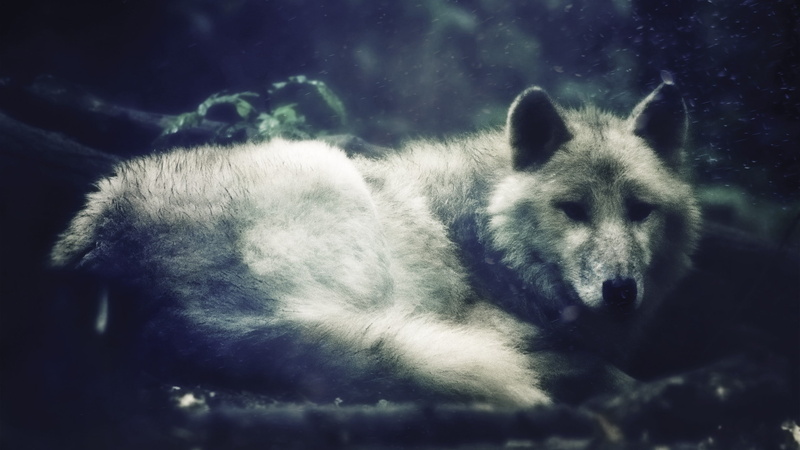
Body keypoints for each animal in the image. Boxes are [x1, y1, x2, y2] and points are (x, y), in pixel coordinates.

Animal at [50, 82, 700, 406]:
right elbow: (597, 368)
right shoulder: (484, 321)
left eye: (640, 211)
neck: (483, 234)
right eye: (572, 210)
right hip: (338, 196)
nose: (621, 291)